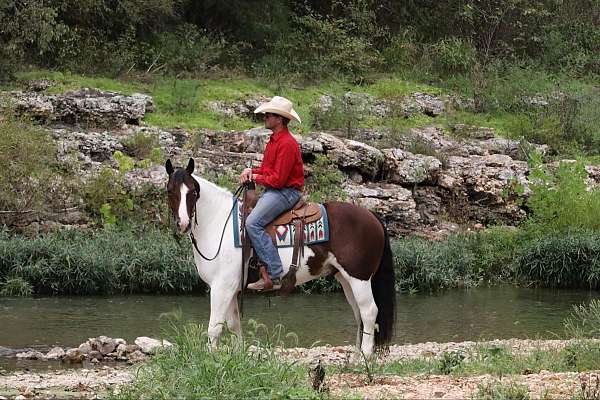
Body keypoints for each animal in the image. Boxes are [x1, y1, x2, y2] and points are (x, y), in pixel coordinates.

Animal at [166, 157, 396, 356]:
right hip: (345, 278)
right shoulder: (231, 289)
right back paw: (356, 358)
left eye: (193, 192)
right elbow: (233, 325)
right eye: (170, 191)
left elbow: (214, 327)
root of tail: (372, 216)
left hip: (359, 278)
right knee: (358, 314)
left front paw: (211, 360)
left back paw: (366, 357)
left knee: (369, 312)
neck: (219, 222)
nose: (183, 223)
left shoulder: (221, 287)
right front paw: (237, 357)